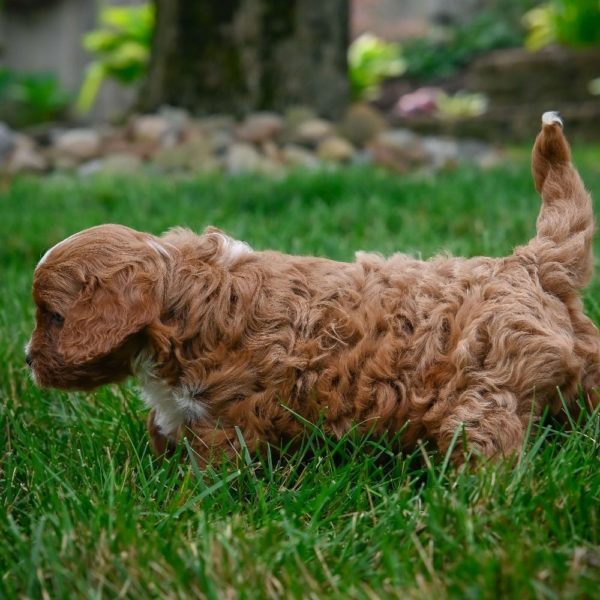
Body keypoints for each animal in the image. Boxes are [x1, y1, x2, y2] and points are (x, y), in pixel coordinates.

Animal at [27, 115, 600, 466]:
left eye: (53, 316)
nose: (28, 359)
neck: (180, 292)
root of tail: (529, 263)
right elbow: (161, 427)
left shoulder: (226, 415)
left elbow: (213, 464)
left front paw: (184, 500)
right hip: (582, 361)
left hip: (484, 389)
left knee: (489, 442)